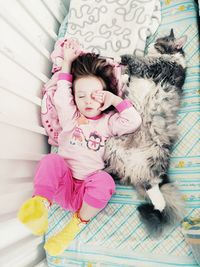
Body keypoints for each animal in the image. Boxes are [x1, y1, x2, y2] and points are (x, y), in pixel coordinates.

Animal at [104, 29, 188, 237]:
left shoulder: (147, 66)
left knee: (157, 194)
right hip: (112, 151)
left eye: (160, 41)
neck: (170, 57)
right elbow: (127, 71)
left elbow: (129, 58)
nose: (150, 44)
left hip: (157, 158)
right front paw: (123, 76)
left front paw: (113, 57)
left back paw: (156, 205)